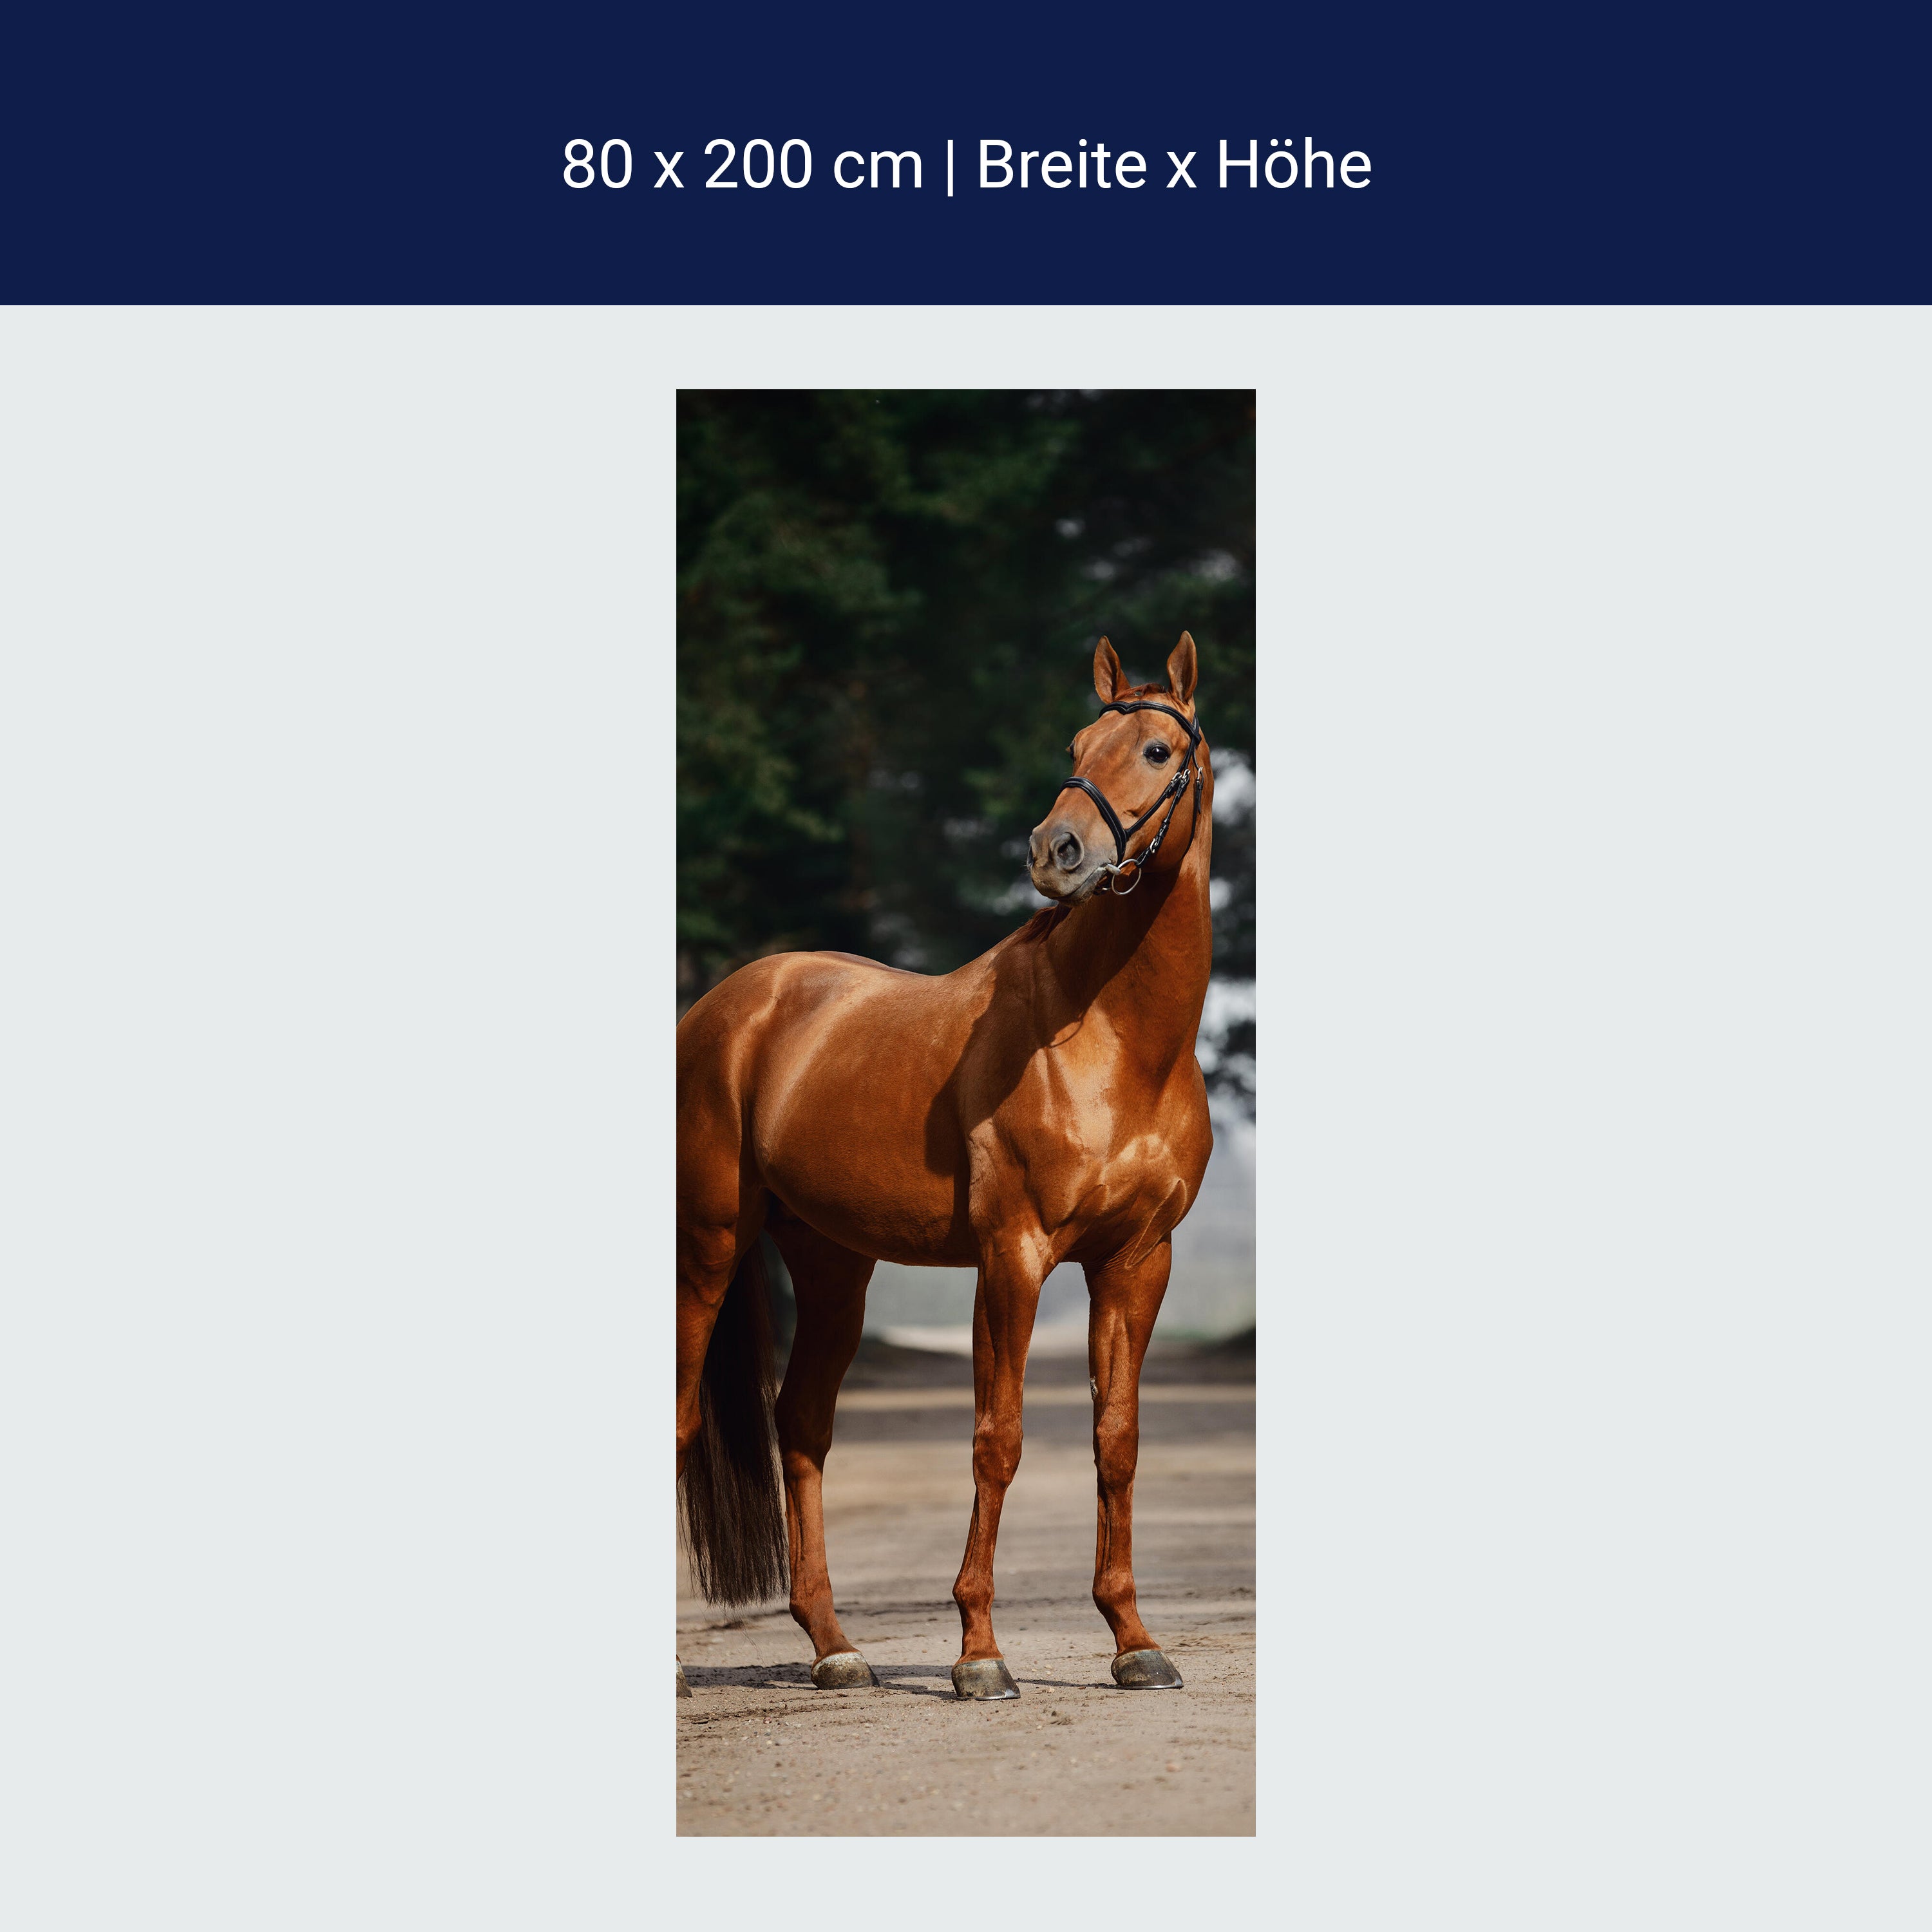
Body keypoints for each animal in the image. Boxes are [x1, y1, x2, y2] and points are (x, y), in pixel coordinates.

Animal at [676, 632, 1217, 1701]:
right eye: (1077, 742)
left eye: (1157, 752)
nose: (1057, 852)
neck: (1112, 1039)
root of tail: (727, 1007)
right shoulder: (1012, 1257)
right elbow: (997, 1439)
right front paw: (979, 1656)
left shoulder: (1137, 1261)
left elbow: (1118, 1440)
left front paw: (1134, 1642)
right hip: (709, 1250)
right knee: (682, 1420)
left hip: (833, 1266)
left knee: (802, 1426)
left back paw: (836, 1649)